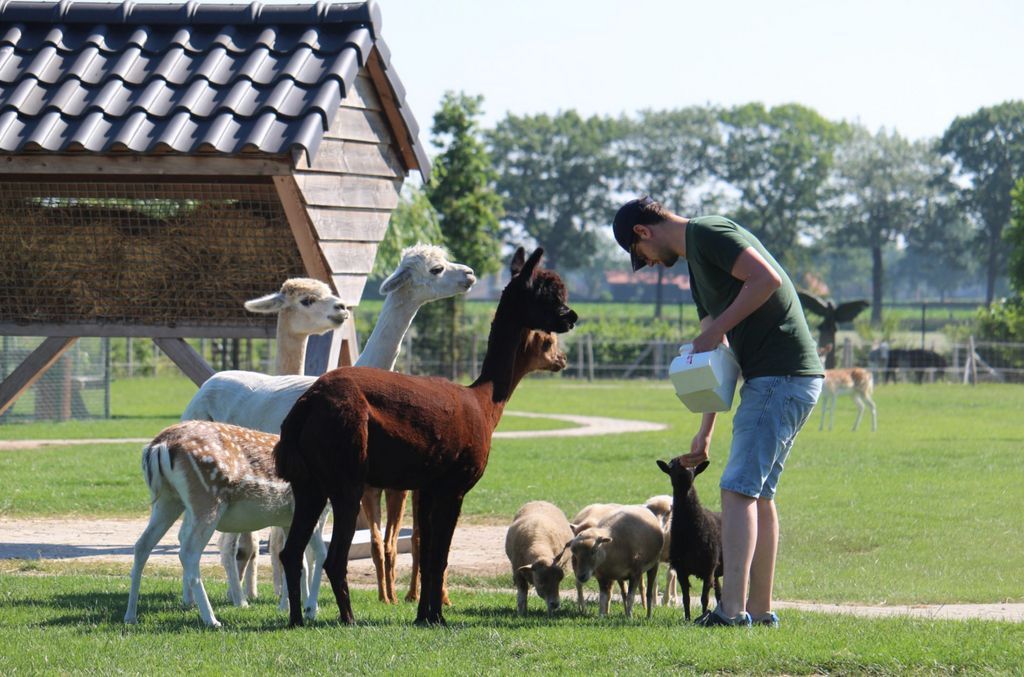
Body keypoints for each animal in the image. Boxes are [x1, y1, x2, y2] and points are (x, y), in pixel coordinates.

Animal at [655, 456, 720, 618]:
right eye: (671, 466)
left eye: (694, 467)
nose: (684, 469)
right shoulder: (681, 569)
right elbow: (686, 598)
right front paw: (687, 619)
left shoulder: (708, 569)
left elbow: (704, 598)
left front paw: (703, 616)